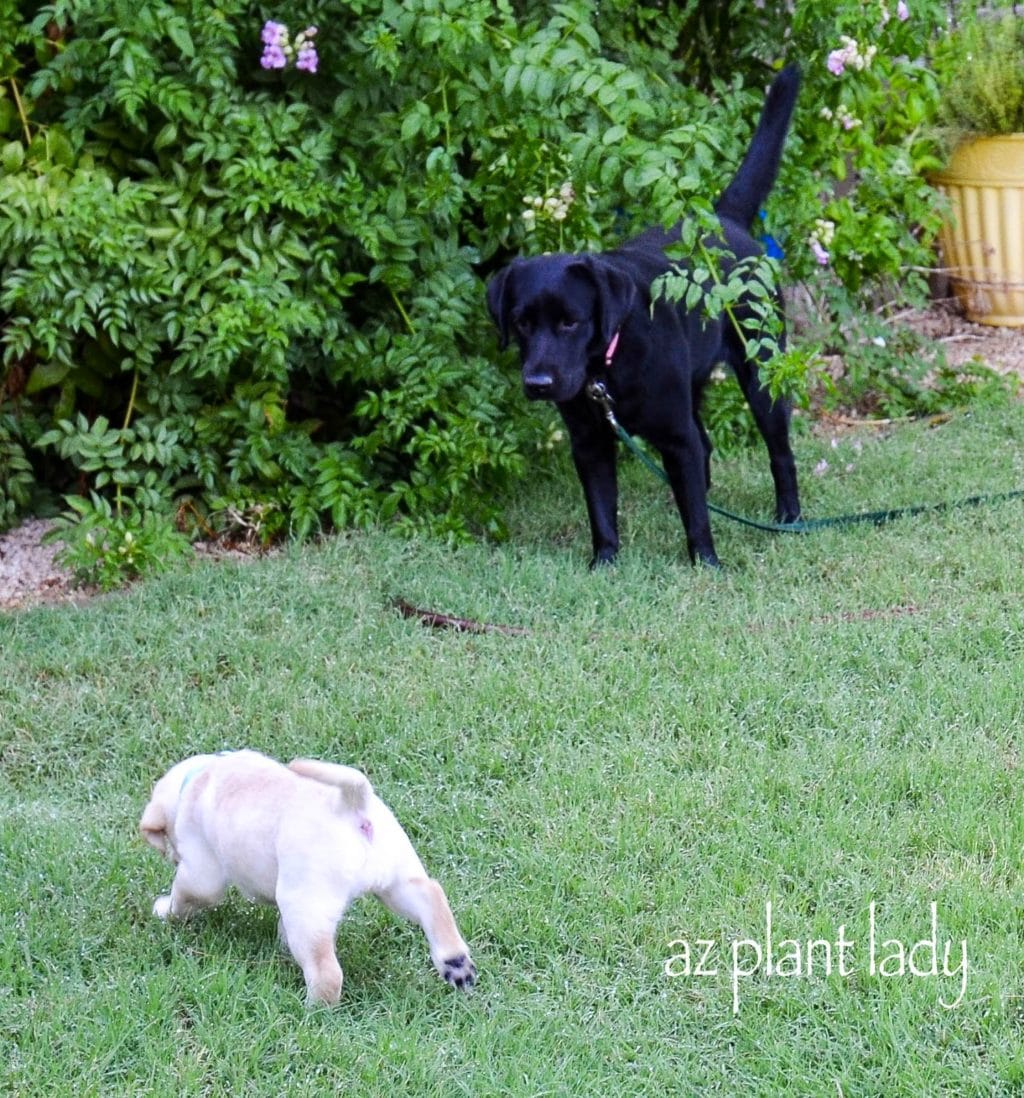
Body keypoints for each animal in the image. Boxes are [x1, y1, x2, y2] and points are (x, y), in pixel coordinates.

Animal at [139, 755, 476, 1005]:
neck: (197, 778)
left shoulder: (200, 872)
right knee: (431, 897)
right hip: (397, 882)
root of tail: (351, 805)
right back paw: (456, 965)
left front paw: (164, 910)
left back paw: (311, 1010)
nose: (171, 855)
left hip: (308, 907)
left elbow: (186, 895)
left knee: (326, 972)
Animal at [491, 67, 803, 566]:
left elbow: (695, 515)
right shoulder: (589, 442)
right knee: (705, 448)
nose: (538, 383)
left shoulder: (674, 435)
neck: (607, 369)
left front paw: (706, 563)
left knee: (780, 452)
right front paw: (604, 562)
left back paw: (789, 515)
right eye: (522, 323)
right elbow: (602, 509)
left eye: (571, 322)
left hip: (762, 371)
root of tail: (725, 218)